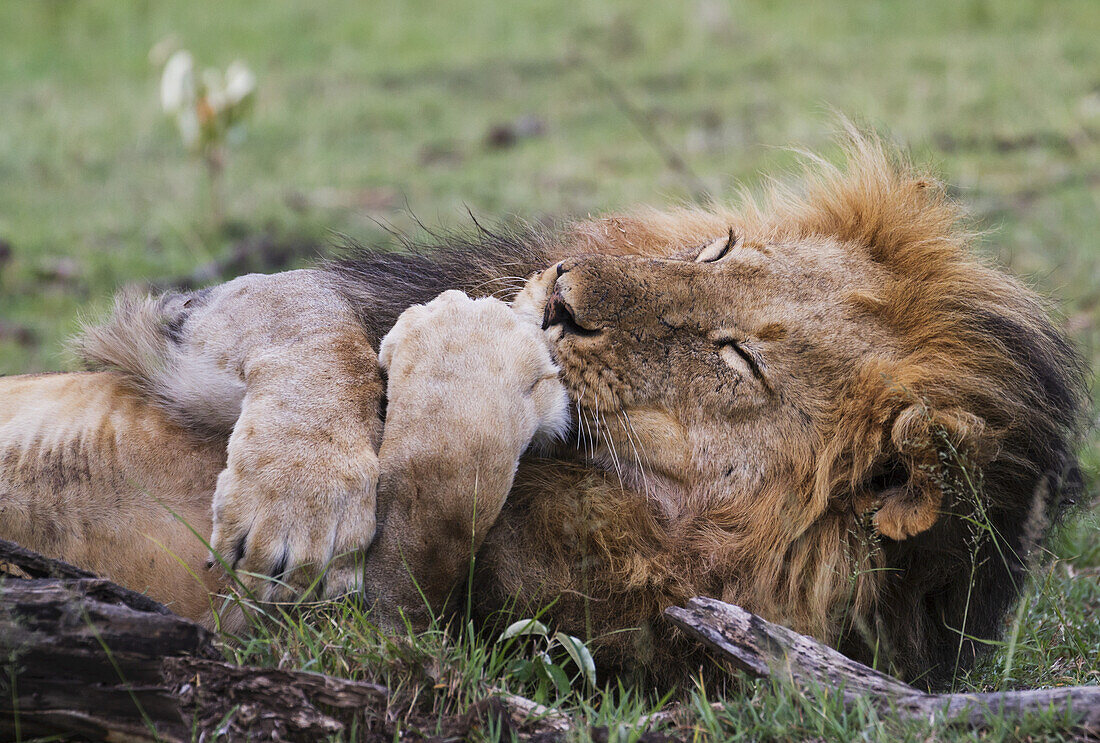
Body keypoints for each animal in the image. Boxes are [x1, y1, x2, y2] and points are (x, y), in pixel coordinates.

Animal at [0, 130, 1082, 686]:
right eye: (718, 248)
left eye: (737, 357)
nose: (560, 289)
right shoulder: (201, 313)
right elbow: (315, 334)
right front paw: (293, 501)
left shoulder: (387, 637)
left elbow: (435, 498)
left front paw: (469, 350)